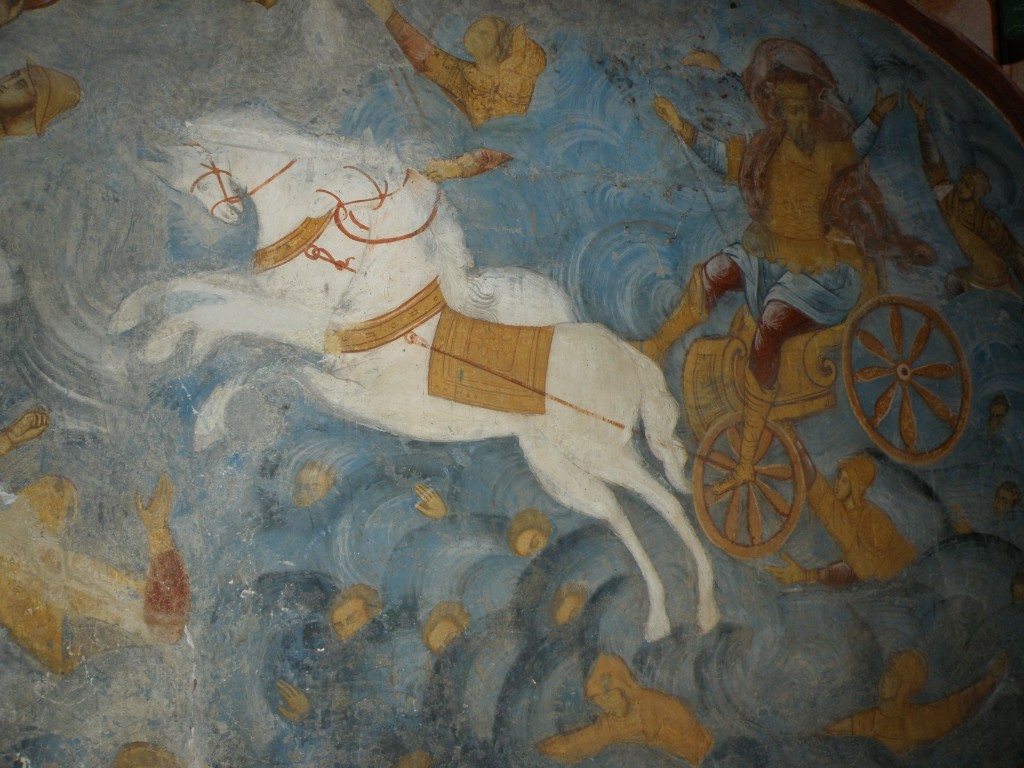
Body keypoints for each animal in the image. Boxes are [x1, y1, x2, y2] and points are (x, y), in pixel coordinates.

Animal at [112, 110, 719, 640]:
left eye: (344, 204)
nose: (230, 216)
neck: (391, 306)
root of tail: (631, 359)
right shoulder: (330, 370)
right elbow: (224, 317)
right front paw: (148, 333)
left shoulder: (317, 342)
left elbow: (231, 326)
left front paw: (183, 381)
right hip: (557, 465)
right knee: (618, 514)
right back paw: (667, 616)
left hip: (601, 449)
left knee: (666, 502)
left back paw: (700, 610)